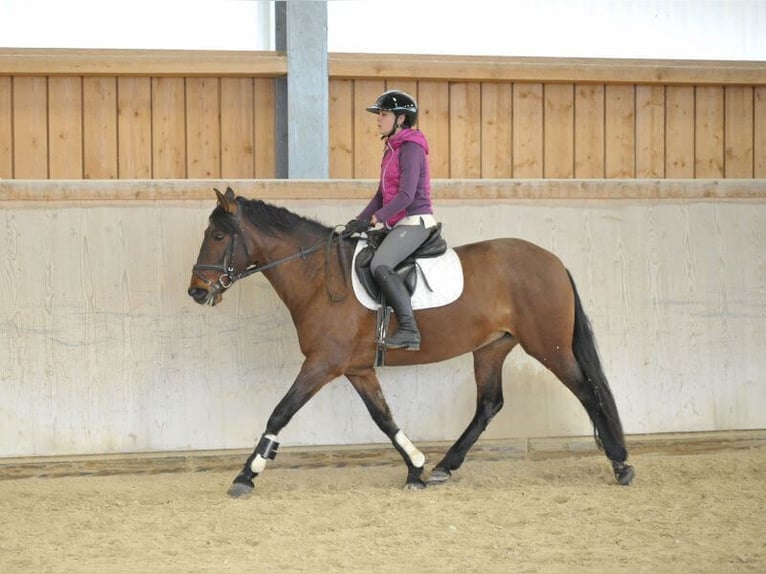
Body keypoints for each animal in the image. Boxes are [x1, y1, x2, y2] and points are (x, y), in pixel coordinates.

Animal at [188, 189, 636, 500]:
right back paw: (444, 467)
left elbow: (280, 413)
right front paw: (416, 468)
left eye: (218, 235)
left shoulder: (323, 363)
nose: (196, 291)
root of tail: (553, 261)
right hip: (491, 348)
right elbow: (384, 418)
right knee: (489, 404)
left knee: (588, 392)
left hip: (549, 347)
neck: (320, 277)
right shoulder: (357, 368)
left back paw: (621, 465)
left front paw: (246, 475)